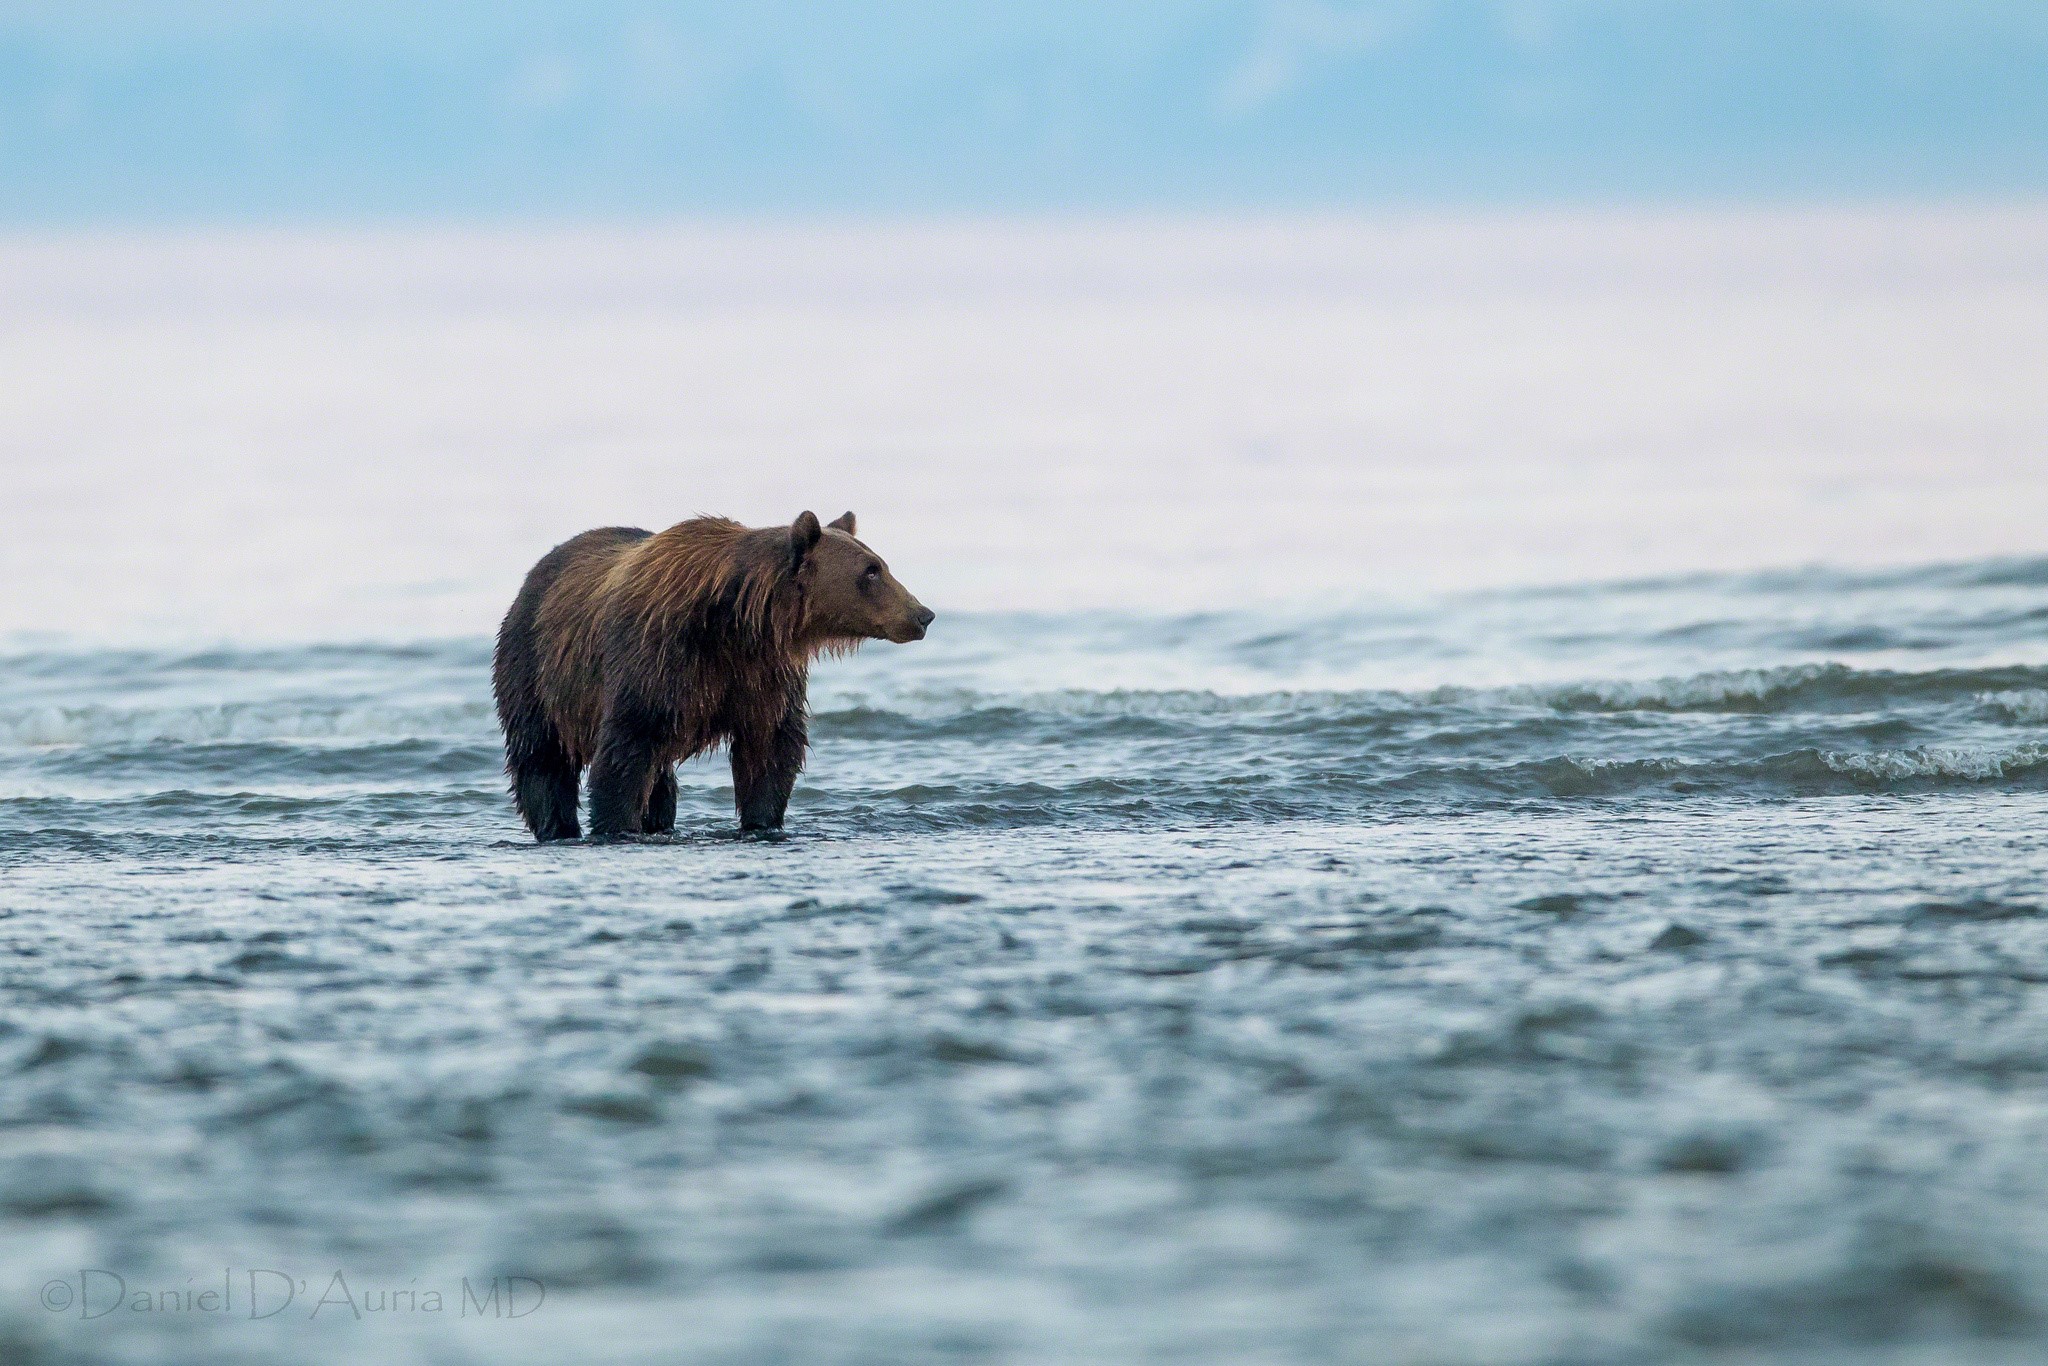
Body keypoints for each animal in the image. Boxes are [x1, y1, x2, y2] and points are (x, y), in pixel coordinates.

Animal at [492, 510, 932, 841]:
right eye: (871, 571)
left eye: (881, 564)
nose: (923, 613)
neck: (736, 620)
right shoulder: (658, 659)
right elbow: (625, 749)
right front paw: (616, 824)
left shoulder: (761, 673)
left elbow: (770, 748)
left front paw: (762, 821)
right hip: (533, 664)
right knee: (541, 756)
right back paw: (556, 825)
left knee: (660, 780)